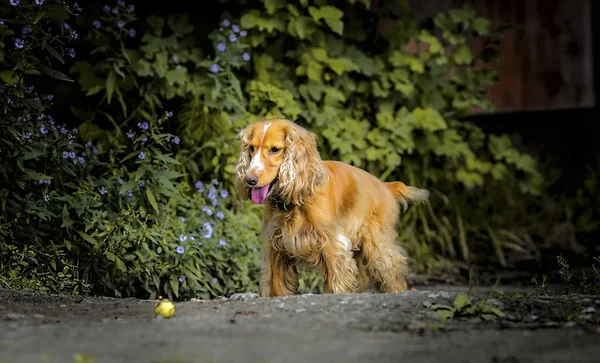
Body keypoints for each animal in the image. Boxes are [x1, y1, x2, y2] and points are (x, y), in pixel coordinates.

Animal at [236, 118, 432, 298]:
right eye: (251, 148)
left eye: (275, 149)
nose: (250, 179)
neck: (297, 199)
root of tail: (386, 186)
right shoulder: (276, 244)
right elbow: (277, 285)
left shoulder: (332, 243)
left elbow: (335, 282)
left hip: (378, 246)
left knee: (393, 274)